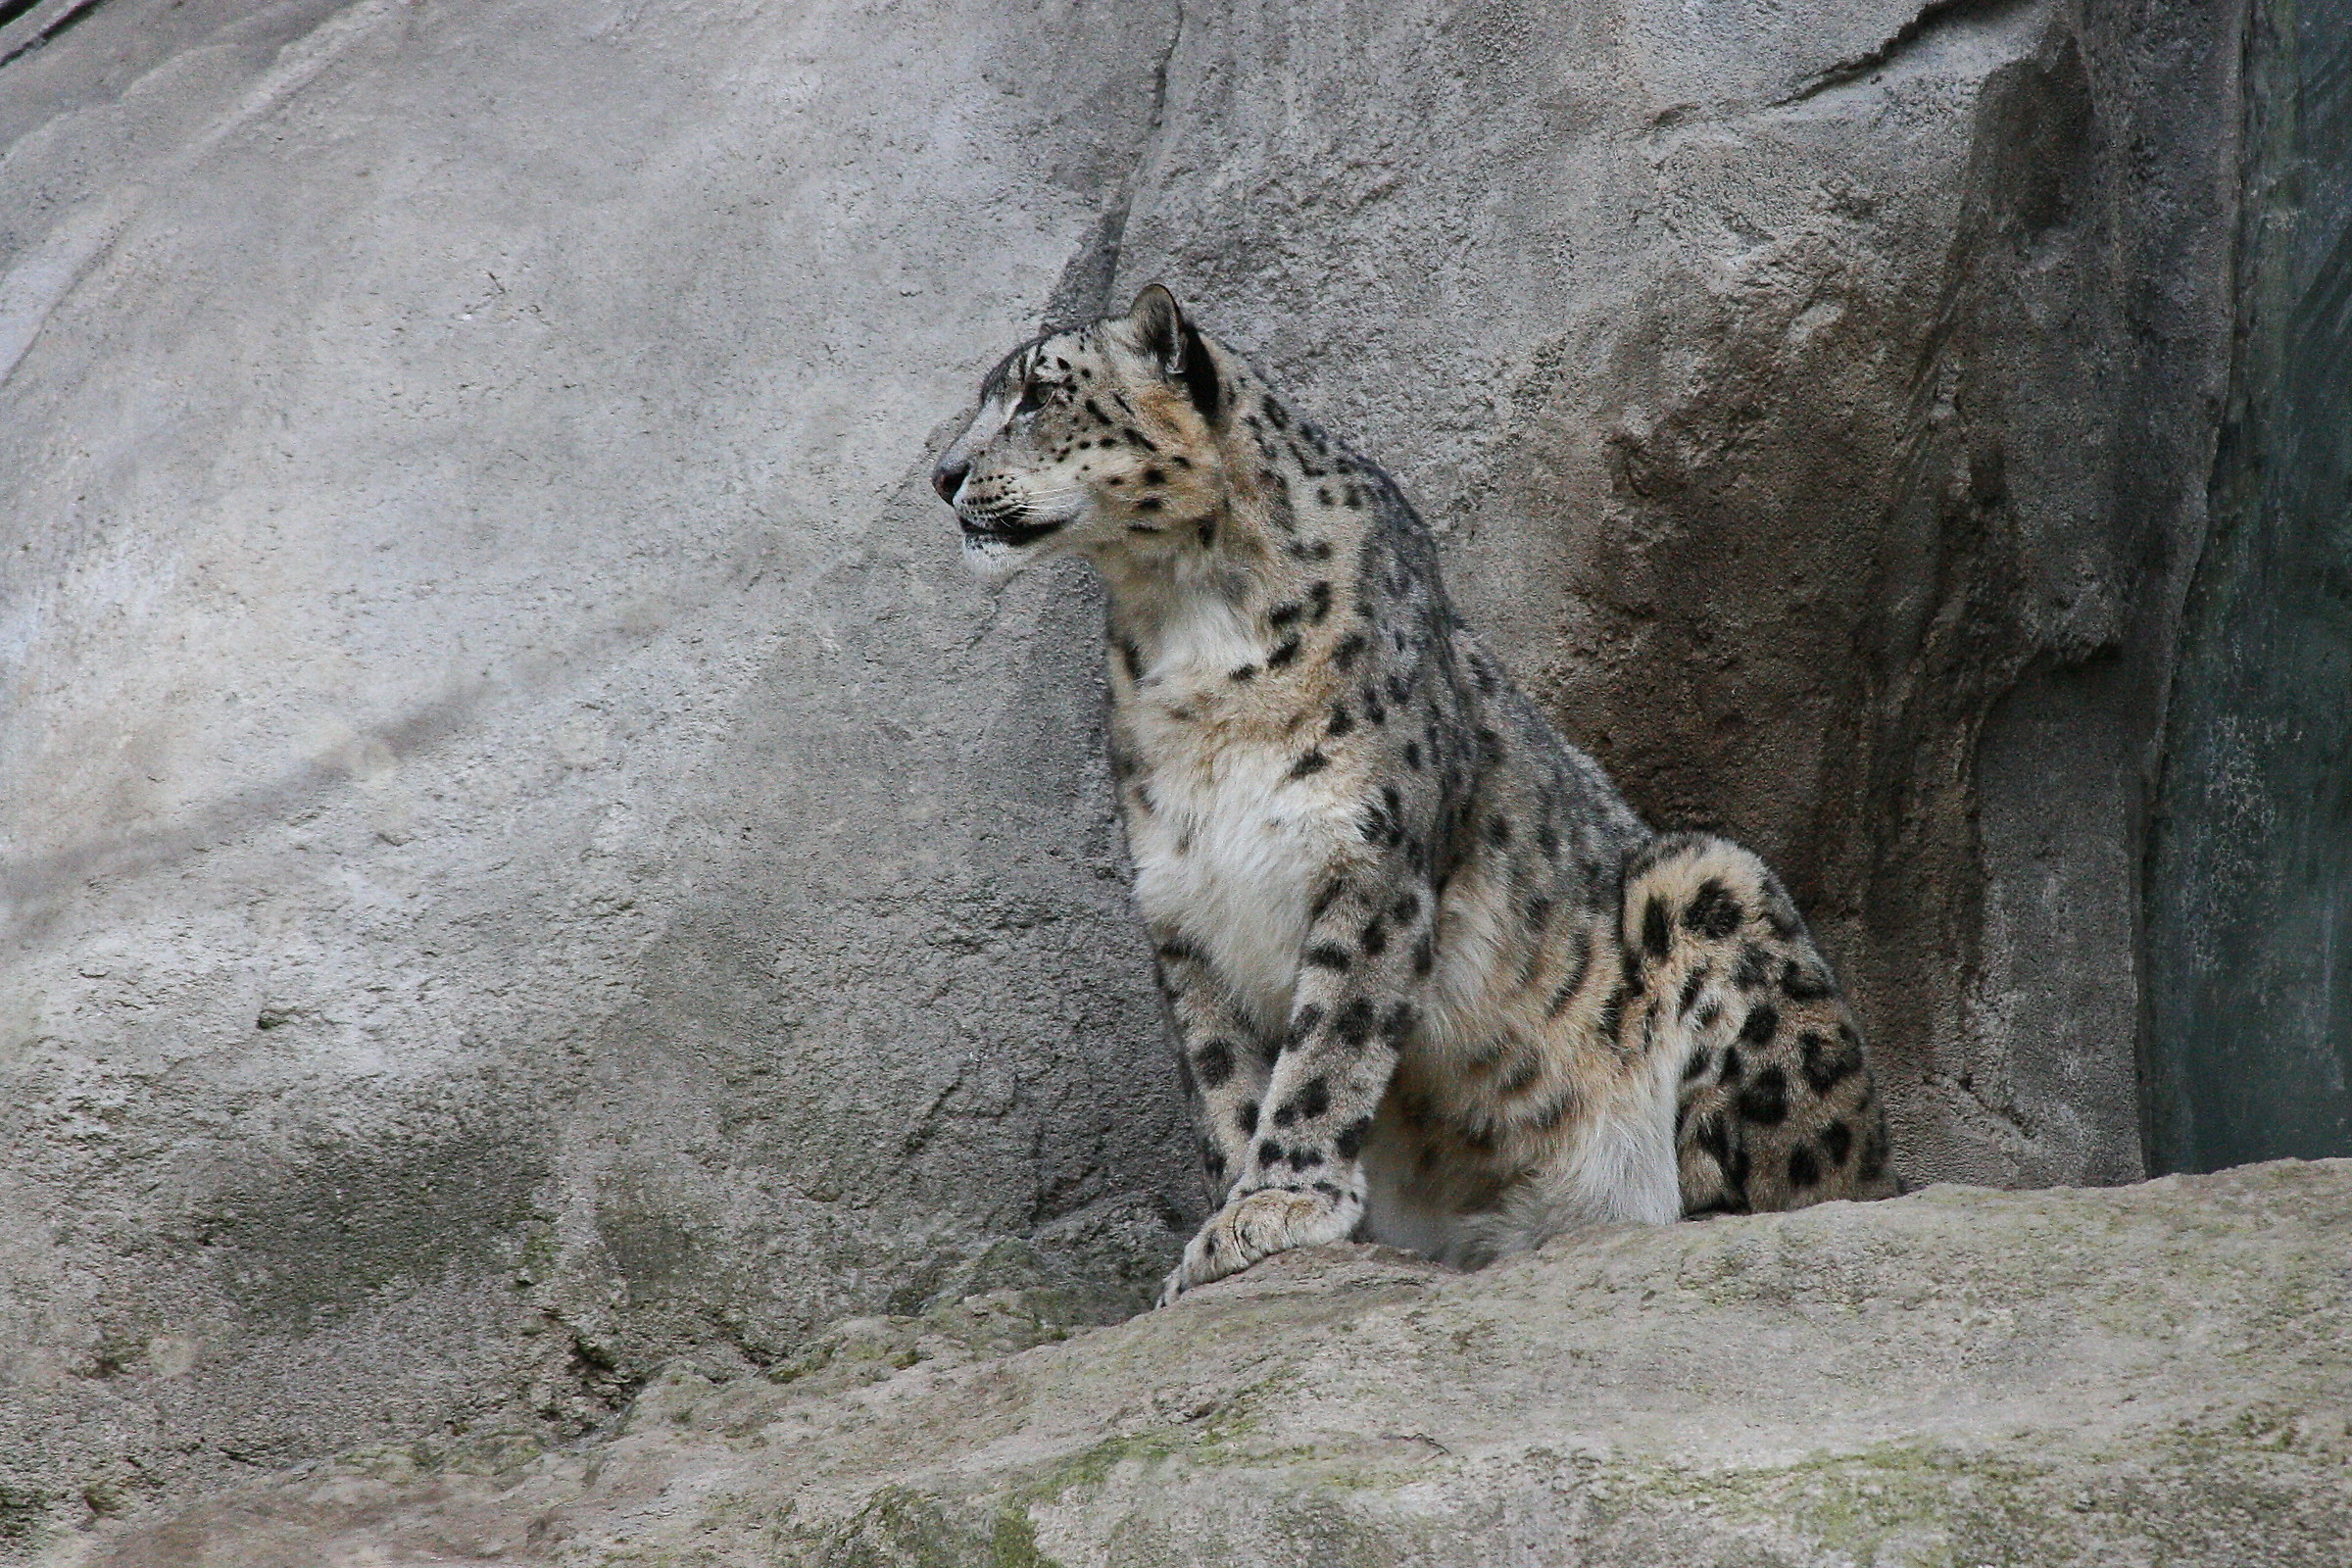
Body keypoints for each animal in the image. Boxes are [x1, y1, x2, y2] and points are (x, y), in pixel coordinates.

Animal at [930, 286, 1898, 1304]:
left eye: (1037, 395)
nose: (945, 476)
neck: (1185, 617)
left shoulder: (1368, 859)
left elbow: (1328, 1044)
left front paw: (1275, 1202)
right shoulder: (1183, 905)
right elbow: (1223, 1077)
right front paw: (1223, 1227)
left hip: (1713, 886)